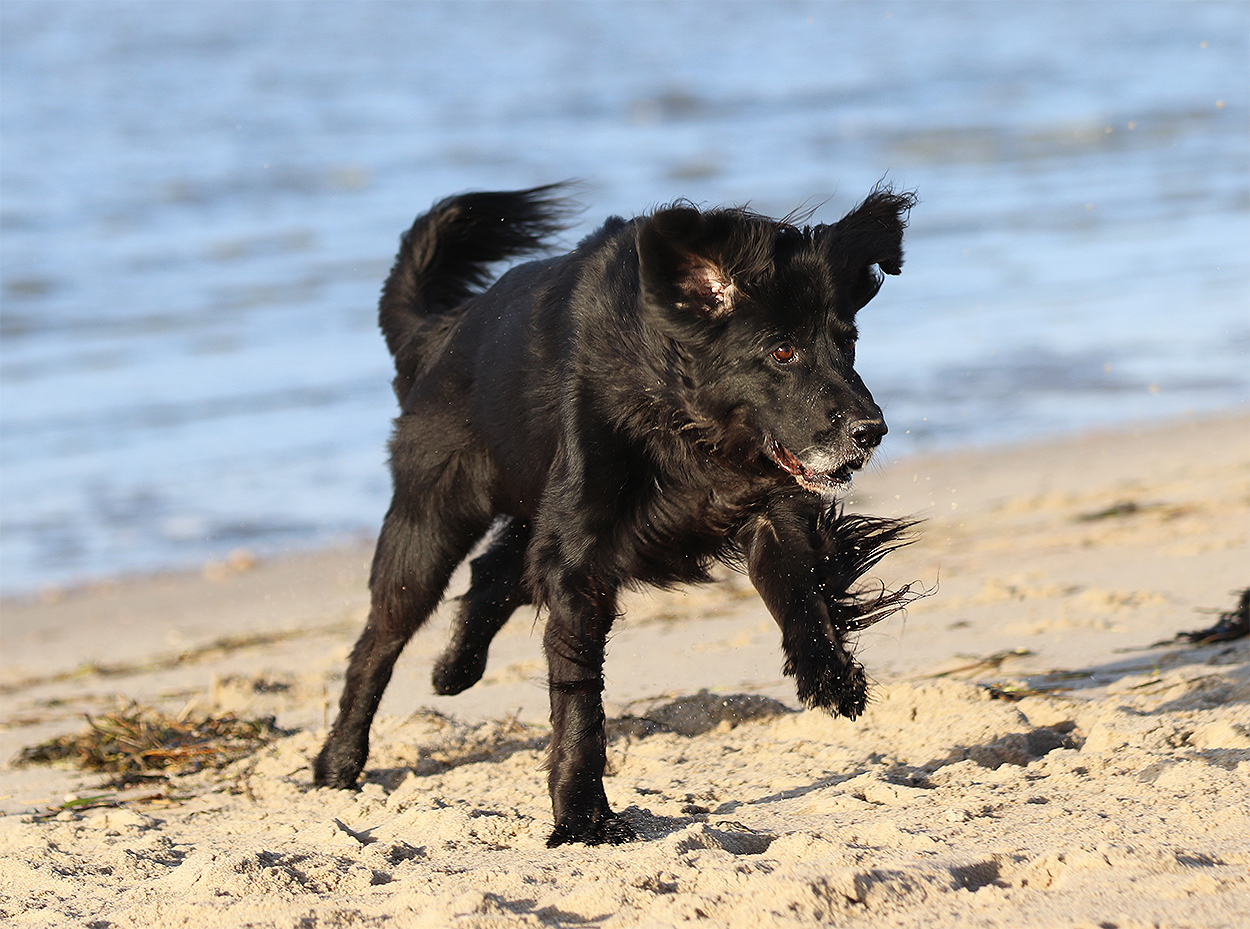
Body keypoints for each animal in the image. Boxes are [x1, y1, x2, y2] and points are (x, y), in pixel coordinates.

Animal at [314, 184, 920, 846]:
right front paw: (582, 815)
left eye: (848, 341)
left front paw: (830, 676)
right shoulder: (580, 557)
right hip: (431, 523)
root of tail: (443, 331)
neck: (677, 410)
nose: (872, 431)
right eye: (783, 351)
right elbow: (579, 692)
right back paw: (338, 762)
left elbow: (801, 590)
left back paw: (455, 669)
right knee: (380, 639)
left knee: (494, 572)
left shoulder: (766, 505)